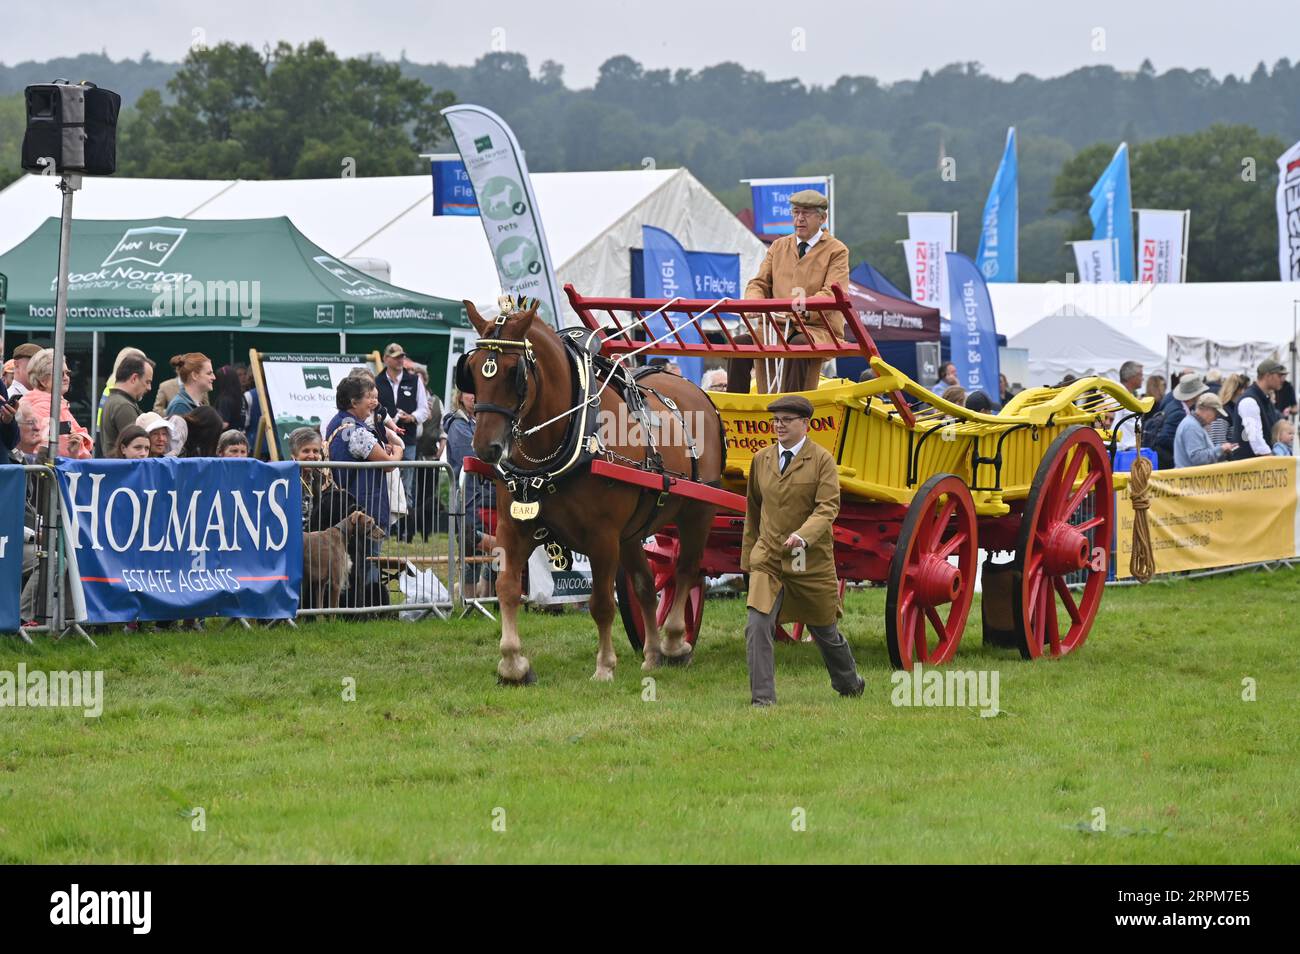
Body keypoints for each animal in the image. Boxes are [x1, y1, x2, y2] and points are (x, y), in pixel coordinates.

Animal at [460, 302, 728, 686]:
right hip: (632, 532)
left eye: (514, 372)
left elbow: (601, 603)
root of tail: (698, 393)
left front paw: (604, 666)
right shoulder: (514, 527)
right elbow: (507, 588)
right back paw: (652, 653)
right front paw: (513, 664)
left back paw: (675, 642)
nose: (486, 447)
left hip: (698, 510)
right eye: (471, 370)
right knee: (647, 586)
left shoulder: (602, 536)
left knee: (686, 571)